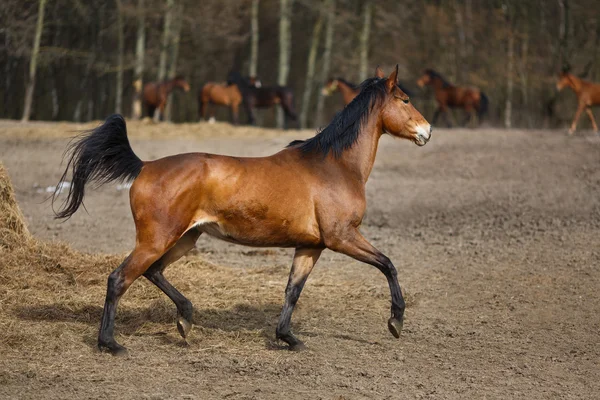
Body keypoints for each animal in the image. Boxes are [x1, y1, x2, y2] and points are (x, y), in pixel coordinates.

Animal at [54, 65, 432, 356]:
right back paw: (111, 344)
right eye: (405, 99)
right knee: (119, 279)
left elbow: (293, 290)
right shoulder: (343, 237)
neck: (334, 166)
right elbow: (388, 265)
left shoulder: (311, 246)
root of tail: (144, 166)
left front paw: (288, 338)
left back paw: (185, 319)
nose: (427, 131)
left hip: (184, 239)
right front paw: (396, 322)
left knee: (152, 271)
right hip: (158, 239)